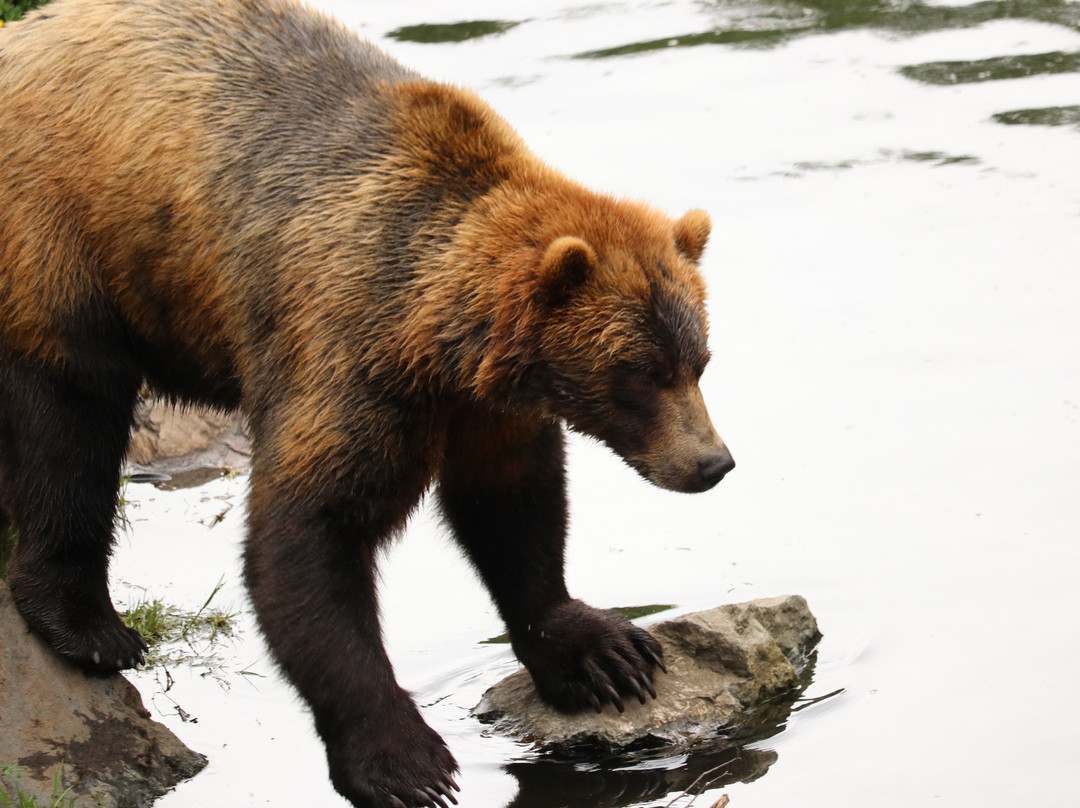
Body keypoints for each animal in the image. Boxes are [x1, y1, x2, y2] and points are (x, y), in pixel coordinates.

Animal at [0, 1, 734, 808]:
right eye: (639, 372)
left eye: (699, 361)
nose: (712, 463)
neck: (443, 345)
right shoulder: (352, 358)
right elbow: (310, 534)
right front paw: (406, 761)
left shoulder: (488, 410)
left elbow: (514, 508)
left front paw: (604, 653)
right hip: (67, 236)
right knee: (70, 425)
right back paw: (88, 625)